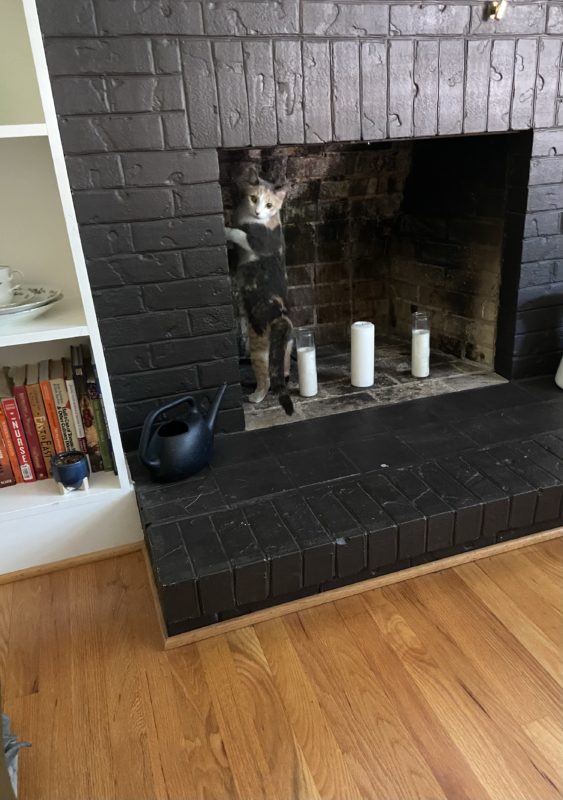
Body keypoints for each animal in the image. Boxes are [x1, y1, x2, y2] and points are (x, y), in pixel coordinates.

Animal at [225, 166, 296, 416]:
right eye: (254, 198)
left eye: (269, 205)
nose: (257, 212)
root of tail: (282, 317)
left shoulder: (259, 241)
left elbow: (238, 233)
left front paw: (225, 229)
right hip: (283, 347)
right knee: (282, 367)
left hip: (257, 348)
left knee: (265, 378)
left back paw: (255, 397)